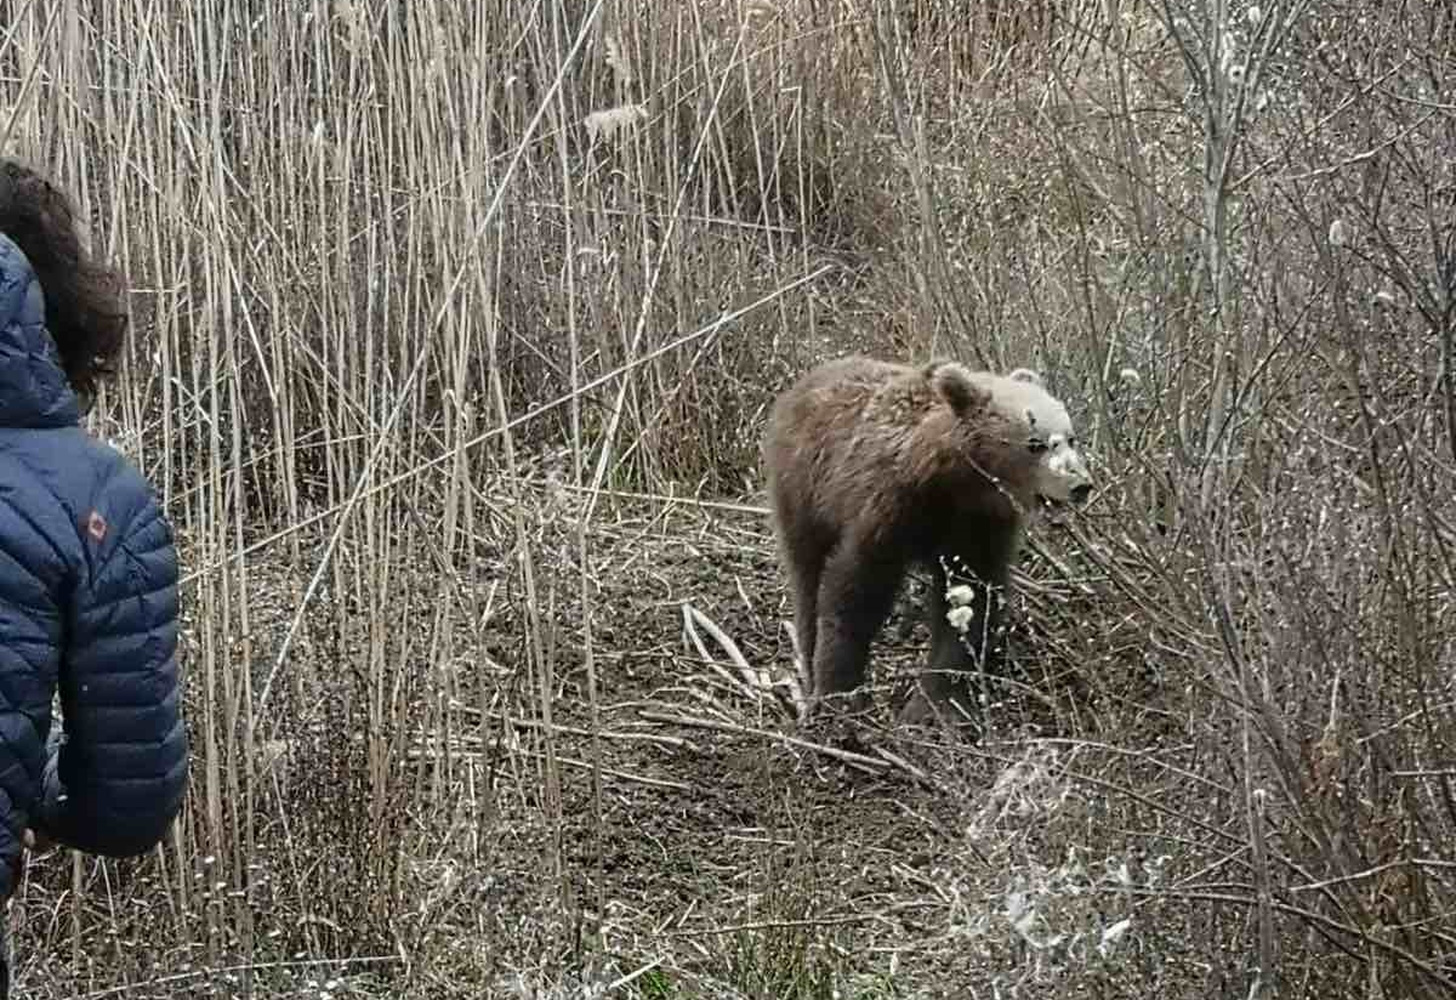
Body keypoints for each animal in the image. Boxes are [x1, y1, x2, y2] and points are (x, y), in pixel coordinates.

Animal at [762, 356, 1094, 730]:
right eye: (1035, 443)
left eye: (1071, 437)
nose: (1080, 484)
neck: (957, 484)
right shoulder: (888, 511)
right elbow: (853, 593)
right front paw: (841, 694)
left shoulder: (977, 529)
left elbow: (971, 601)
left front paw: (936, 705)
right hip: (803, 491)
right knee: (807, 577)